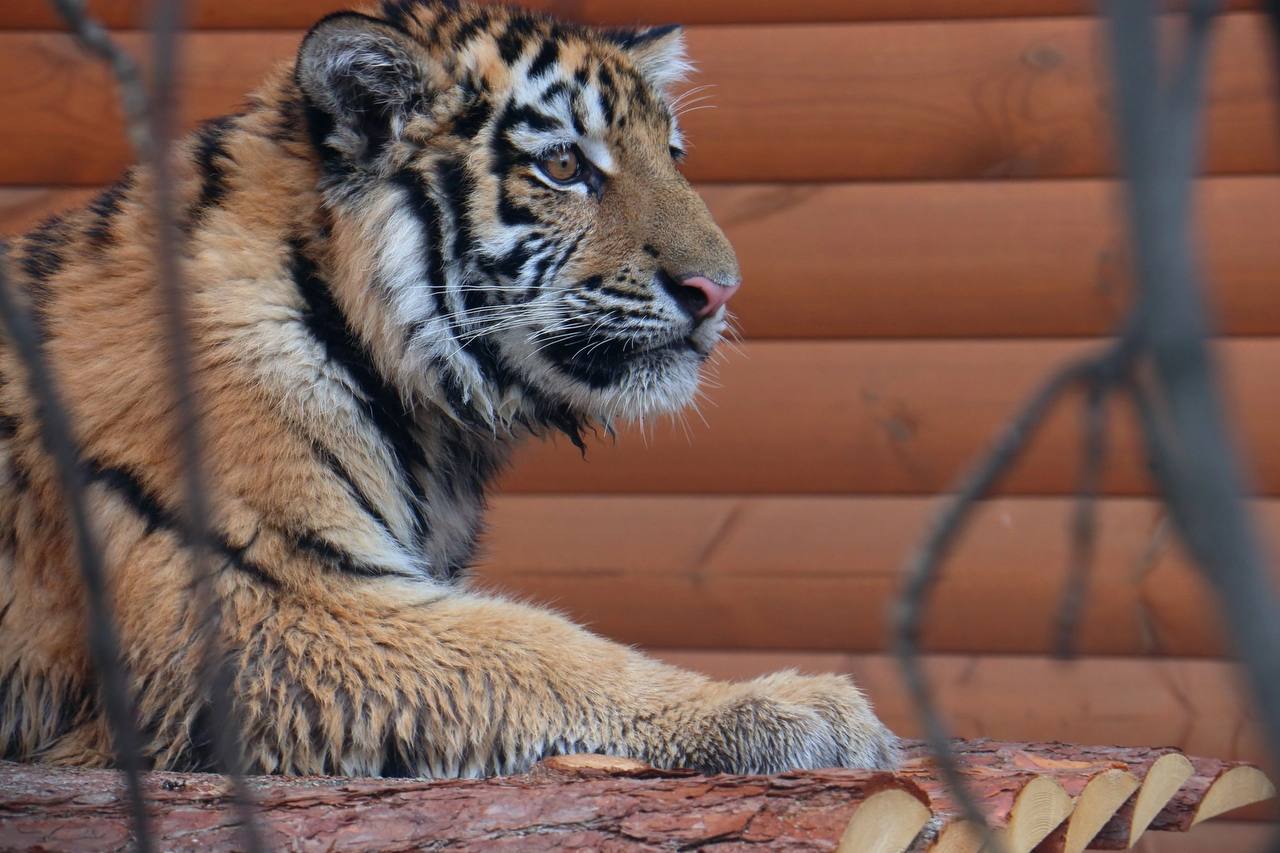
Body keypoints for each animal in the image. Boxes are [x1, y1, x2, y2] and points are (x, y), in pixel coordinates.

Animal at [0, 0, 901, 773]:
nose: (717, 290)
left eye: (672, 157)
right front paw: (791, 709)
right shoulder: (264, 600)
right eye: (564, 164)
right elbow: (536, 646)